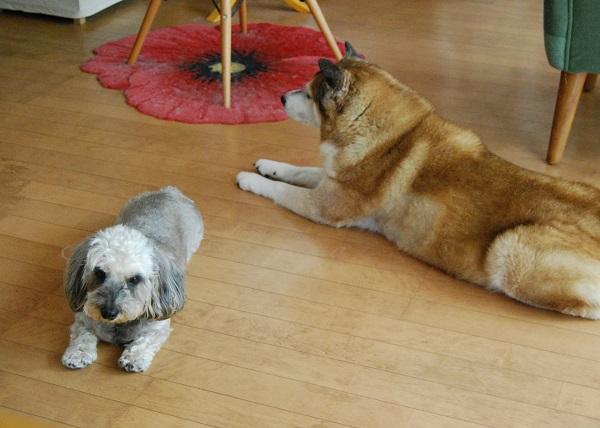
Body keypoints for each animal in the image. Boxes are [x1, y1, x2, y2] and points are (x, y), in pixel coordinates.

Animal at [62, 186, 203, 372]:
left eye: (135, 279)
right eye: (99, 273)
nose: (108, 313)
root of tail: (169, 191)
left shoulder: (157, 327)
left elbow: (144, 341)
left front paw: (134, 358)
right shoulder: (84, 317)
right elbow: (82, 334)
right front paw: (77, 354)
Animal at [237, 42, 600, 319]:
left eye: (309, 94)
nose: (282, 98)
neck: (392, 136)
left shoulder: (325, 205)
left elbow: (282, 190)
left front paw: (250, 179)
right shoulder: (332, 180)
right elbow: (298, 170)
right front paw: (268, 165)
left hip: (509, 252)